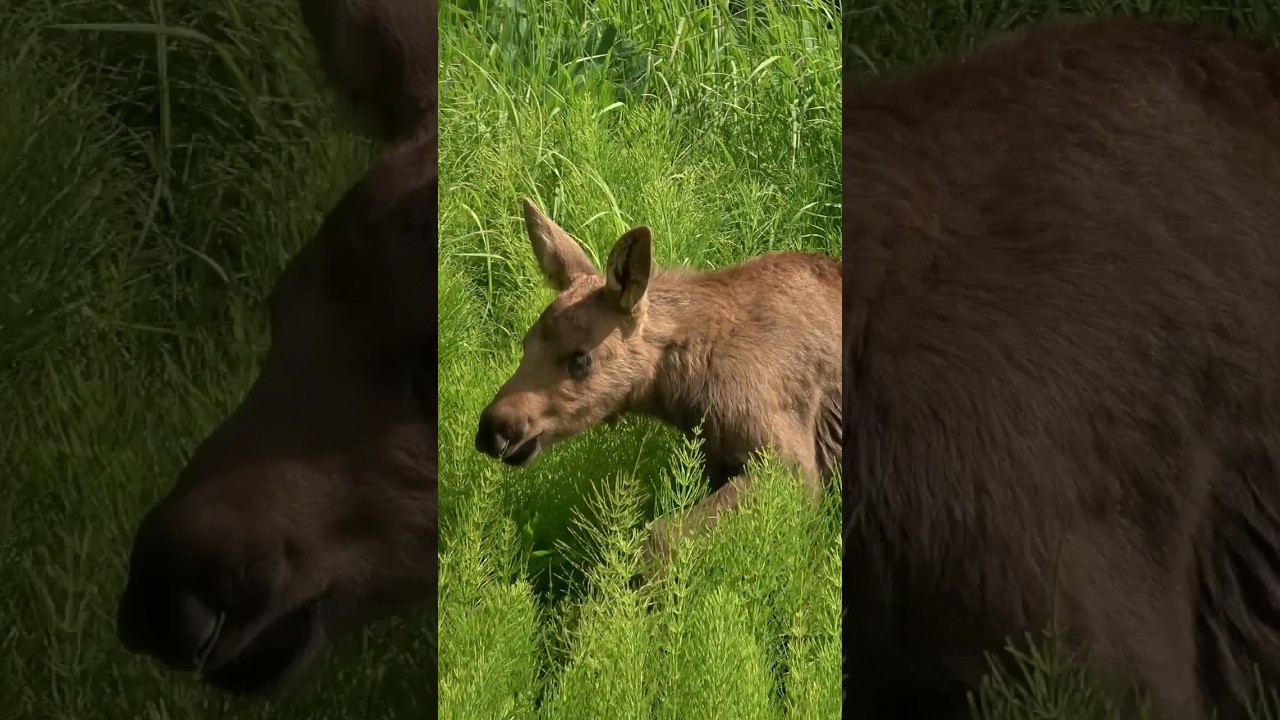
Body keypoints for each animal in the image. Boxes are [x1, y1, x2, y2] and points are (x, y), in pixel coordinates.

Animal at [475, 199, 841, 575]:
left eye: (580, 358)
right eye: (526, 343)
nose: (493, 429)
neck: (688, 388)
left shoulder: (793, 466)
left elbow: (658, 536)